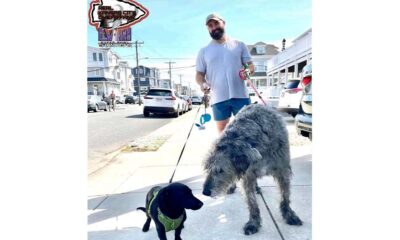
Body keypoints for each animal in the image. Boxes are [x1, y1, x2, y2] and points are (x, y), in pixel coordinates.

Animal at [203, 103, 304, 234]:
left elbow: (285, 195)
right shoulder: (247, 177)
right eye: (207, 169)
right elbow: (252, 202)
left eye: (220, 170)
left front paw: (289, 215)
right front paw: (253, 223)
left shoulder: (283, 171)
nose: (205, 192)